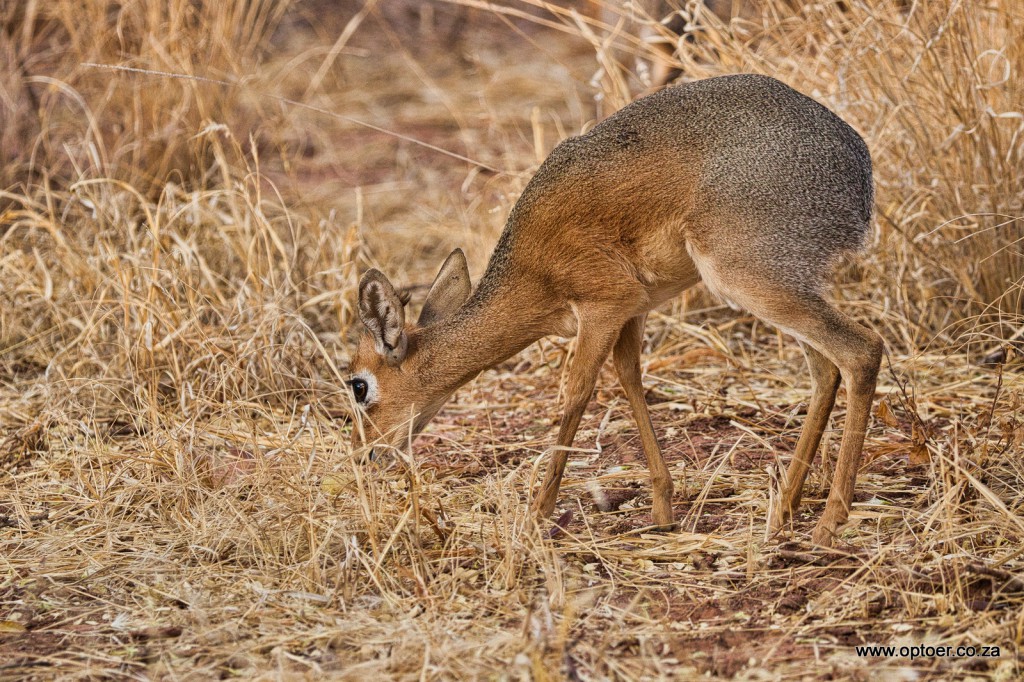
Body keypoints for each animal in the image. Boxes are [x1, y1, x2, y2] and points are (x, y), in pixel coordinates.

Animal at [348, 74, 882, 546]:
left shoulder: (603, 306)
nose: (364, 456)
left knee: (862, 351)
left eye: (359, 386)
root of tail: (859, 166)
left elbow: (576, 394)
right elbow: (630, 380)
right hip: (785, 285)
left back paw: (829, 524)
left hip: (750, 280)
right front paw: (663, 511)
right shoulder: (633, 311)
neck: (531, 266)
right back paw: (783, 511)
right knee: (824, 369)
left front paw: (536, 516)